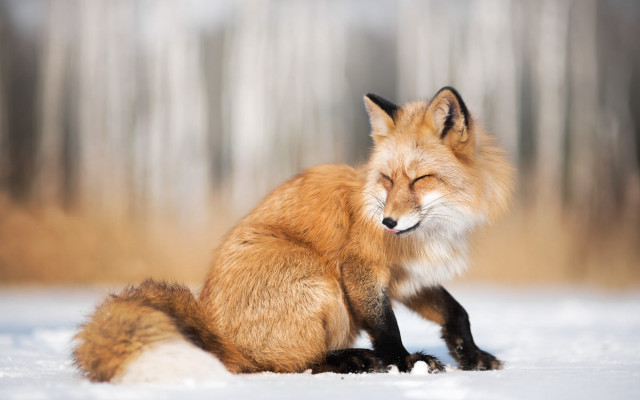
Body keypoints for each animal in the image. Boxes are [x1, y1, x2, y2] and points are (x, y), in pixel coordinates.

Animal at [73, 87, 513, 382]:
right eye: (387, 180)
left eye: (420, 179)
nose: (388, 222)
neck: (429, 234)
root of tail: (213, 328)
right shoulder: (360, 268)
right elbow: (386, 326)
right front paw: (405, 363)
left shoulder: (409, 277)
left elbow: (458, 312)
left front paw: (472, 356)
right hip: (320, 280)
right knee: (285, 365)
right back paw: (350, 360)